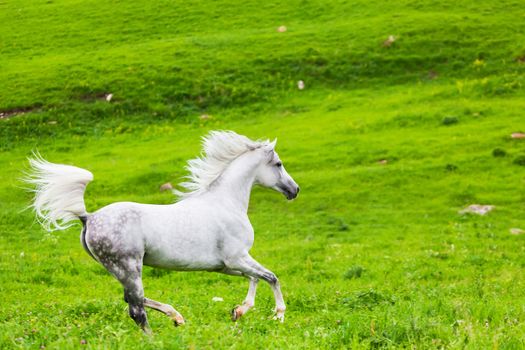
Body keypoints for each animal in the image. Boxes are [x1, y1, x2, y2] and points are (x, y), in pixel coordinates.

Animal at [26, 130, 298, 332]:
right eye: (278, 164)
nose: (295, 190)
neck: (226, 202)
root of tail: (88, 217)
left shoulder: (227, 265)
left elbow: (255, 278)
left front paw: (238, 311)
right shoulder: (237, 258)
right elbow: (271, 277)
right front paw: (278, 315)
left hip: (118, 270)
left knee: (132, 301)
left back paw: (176, 317)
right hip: (129, 267)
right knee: (136, 309)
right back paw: (158, 335)